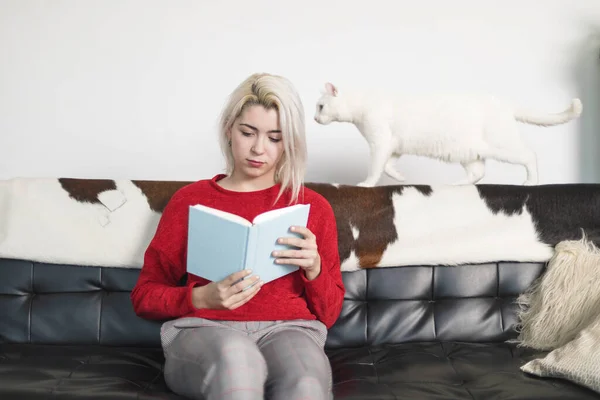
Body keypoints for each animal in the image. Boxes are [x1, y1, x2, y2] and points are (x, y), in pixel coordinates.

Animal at [314, 83, 580, 187]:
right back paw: (456, 185)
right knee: (478, 173)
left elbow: (375, 168)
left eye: (320, 107)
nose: (315, 119)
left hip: (503, 146)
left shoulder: (380, 143)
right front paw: (400, 177)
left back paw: (531, 182)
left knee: (529, 156)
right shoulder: (394, 146)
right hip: (470, 152)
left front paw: (367, 184)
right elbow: (388, 166)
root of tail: (504, 103)